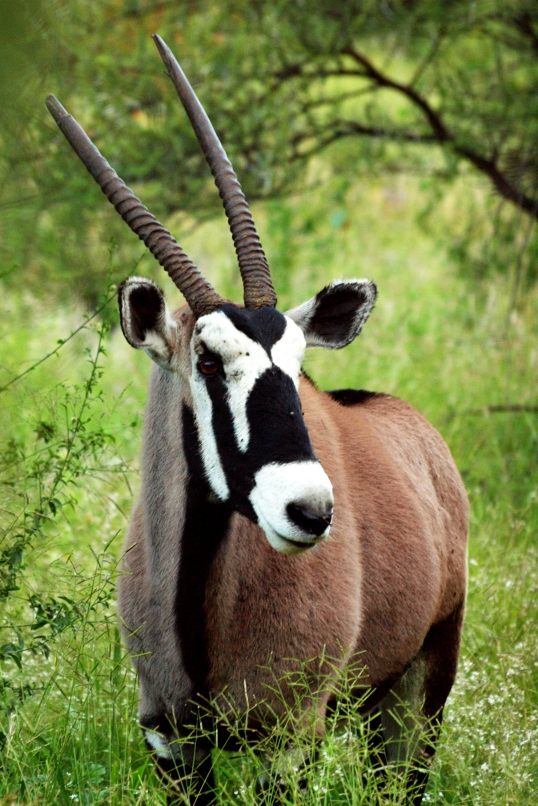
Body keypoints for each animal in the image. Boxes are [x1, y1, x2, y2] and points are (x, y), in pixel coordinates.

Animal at [47, 33, 464, 806]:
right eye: (208, 361)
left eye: (298, 363)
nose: (311, 511)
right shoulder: (173, 742)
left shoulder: (289, 741)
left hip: (419, 688)